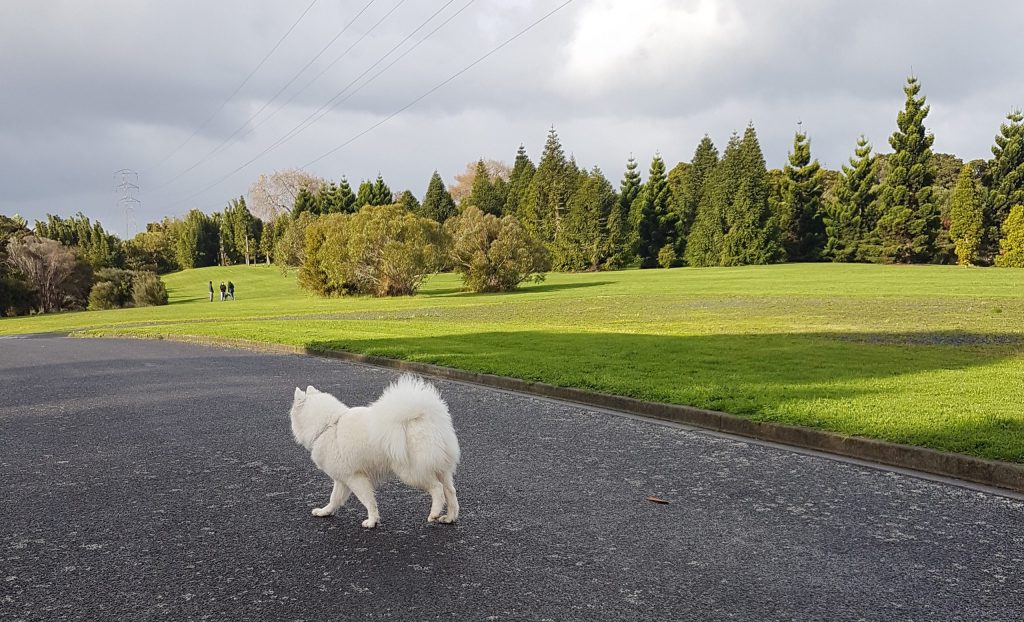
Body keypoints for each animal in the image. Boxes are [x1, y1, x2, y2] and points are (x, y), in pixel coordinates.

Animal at [290, 377, 462, 528]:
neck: (329, 425)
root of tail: (424, 417)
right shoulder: (342, 479)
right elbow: (334, 499)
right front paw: (324, 512)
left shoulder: (355, 478)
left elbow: (368, 501)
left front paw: (372, 522)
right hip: (441, 468)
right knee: (450, 491)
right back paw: (449, 518)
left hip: (411, 472)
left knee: (437, 488)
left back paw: (434, 513)